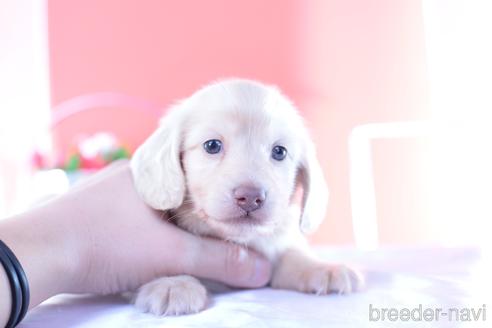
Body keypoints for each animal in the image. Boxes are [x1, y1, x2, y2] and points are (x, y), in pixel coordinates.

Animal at [131, 79, 362, 316]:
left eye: (279, 151)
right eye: (212, 145)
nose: (251, 197)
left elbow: (290, 254)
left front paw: (321, 267)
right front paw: (172, 282)